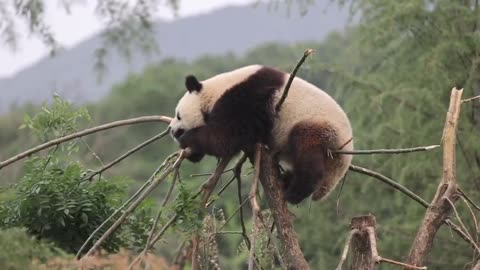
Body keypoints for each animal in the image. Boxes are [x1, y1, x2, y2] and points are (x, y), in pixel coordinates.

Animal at [169, 66, 352, 205]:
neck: (217, 91)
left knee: (306, 147)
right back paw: (286, 181)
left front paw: (187, 140)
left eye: (178, 115)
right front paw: (192, 152)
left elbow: (226, 137)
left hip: (320, 127)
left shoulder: (248, 98)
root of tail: (345, 157)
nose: (171, 130)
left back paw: (294, 192)